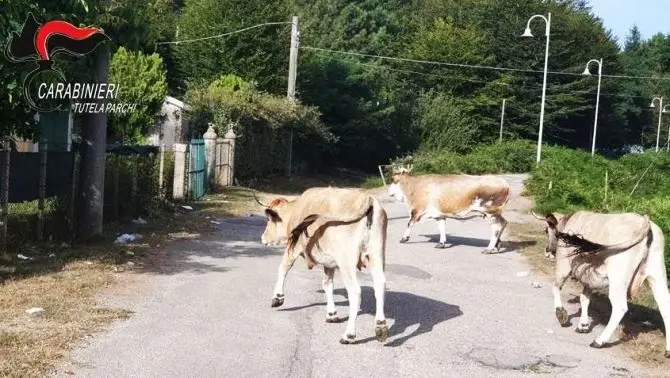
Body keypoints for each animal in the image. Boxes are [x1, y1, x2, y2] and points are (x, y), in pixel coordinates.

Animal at [255, 188, 392, 344]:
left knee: (355, 292)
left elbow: (283, 268)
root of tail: (368, 200)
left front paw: (278, 297)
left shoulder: (293, 247)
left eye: (268, 220)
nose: (262, 238)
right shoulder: (329, 262)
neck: (296, 210)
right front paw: (331, 314)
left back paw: (349, 334)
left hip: (346, 262)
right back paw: (380, 326)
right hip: (377, 254)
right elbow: (327, 284)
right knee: (380, 284)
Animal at [532, 210, 668, 358]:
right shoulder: (588, 277)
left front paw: (561, 314)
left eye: (547, 230)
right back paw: (668, 350)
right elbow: (585, 298)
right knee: (665, 306)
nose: (547, 250)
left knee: (620, 307)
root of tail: (644, 221)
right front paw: (583, 325)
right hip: (657, 274)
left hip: (618, 277)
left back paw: (599, 341)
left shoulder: (564, 264)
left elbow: (556, 287)